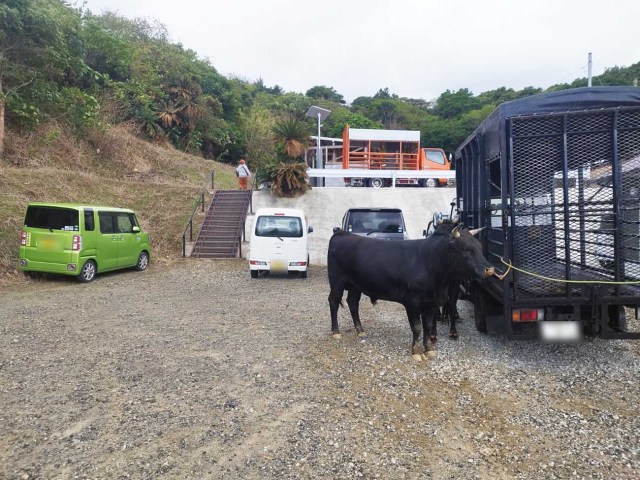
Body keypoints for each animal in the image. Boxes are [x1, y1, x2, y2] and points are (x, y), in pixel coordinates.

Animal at [328, 227, 498, 358]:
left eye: (479, 247)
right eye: (466, 249)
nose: (490, 270)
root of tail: (342, 233)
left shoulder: (431, 303)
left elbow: (428, 326)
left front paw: (428, 350)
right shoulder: (412, 302)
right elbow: (417, 327)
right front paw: (416, 351)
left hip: (355, 285)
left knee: (352, 303)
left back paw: (360, 330)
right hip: (337, 280)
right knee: (334, 301)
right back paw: (336, 332)